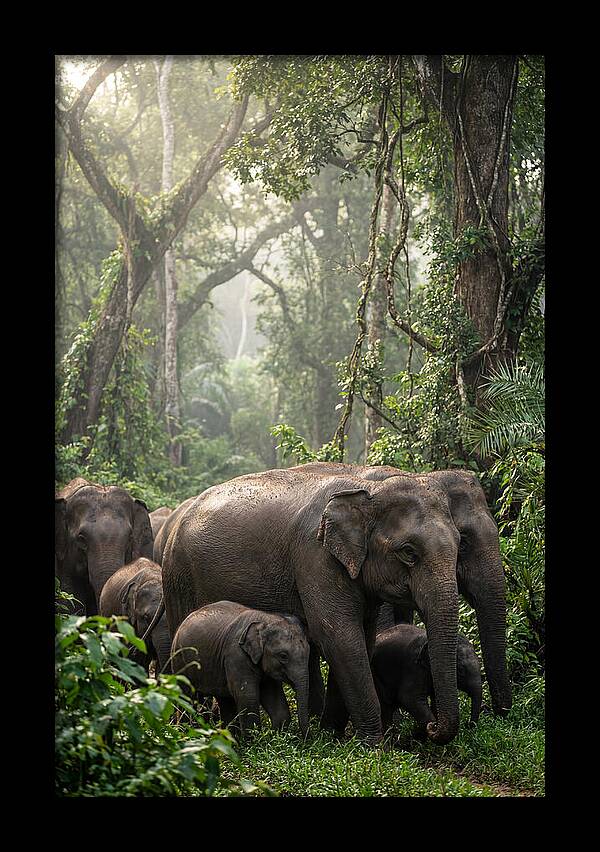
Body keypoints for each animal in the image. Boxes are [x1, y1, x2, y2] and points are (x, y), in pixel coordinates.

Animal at [170, 600, 310, 736]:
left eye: (309, 651)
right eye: (283, 656)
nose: (305, 739)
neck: (265, 619)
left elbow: (275, 700)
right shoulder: (236, 656)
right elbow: (248, 697)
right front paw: (254, 741)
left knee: (225, 701)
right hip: (180, 661)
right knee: (187, 698)